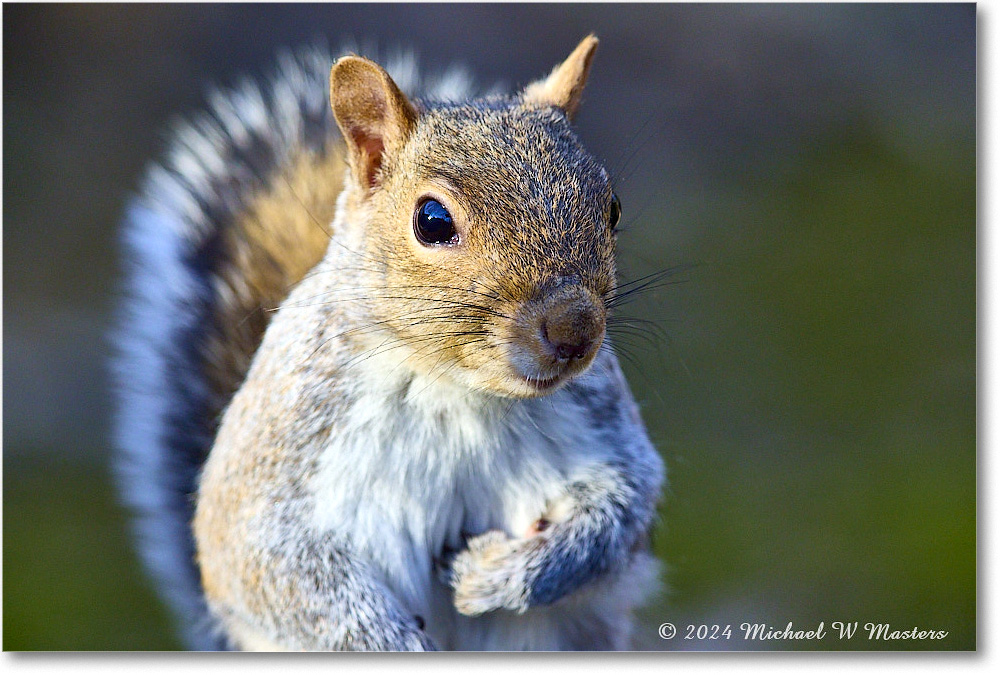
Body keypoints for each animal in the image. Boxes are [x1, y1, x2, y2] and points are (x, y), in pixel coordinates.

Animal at [111, 34, 664, 652]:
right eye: (432, 220)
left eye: (611, 207)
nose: (575, 331)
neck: (459, 391)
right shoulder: (282, 443)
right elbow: (265, 562)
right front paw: (395, 644)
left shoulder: (606, 430)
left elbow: (617, 516)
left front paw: (499, 574)